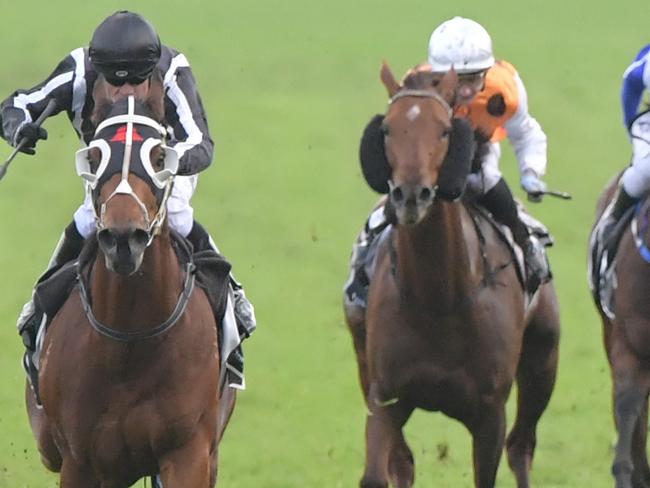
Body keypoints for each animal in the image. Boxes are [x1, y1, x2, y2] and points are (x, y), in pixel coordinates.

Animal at [26, 79, 233, 484]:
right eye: (94, 158)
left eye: (159, 158)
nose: (124, 238)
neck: (131, 339)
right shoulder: (80, 460)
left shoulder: (189, 453)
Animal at [342, 63, 560, 486]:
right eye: (387, 129)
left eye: (444, 130)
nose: (412, 195)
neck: (437, 298)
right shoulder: (386, 395)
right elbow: (379, 473)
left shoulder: (490, 414)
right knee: (403, 463)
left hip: (543, 360)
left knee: (522, 446)